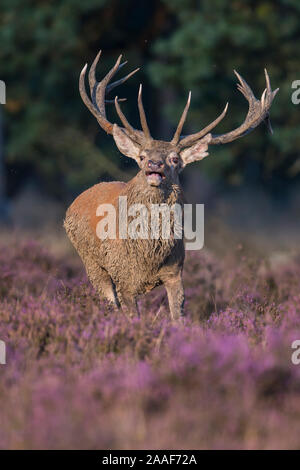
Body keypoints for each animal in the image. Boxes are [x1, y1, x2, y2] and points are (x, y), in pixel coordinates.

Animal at [63, 52, 278, 324]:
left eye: (175, 159)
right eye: (142, 156)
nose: (154, 164)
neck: (148, 256)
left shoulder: (175, 272)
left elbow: (178, 317)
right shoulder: (123, 277)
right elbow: (131, 318)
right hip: (91, 263)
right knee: (109, 302)